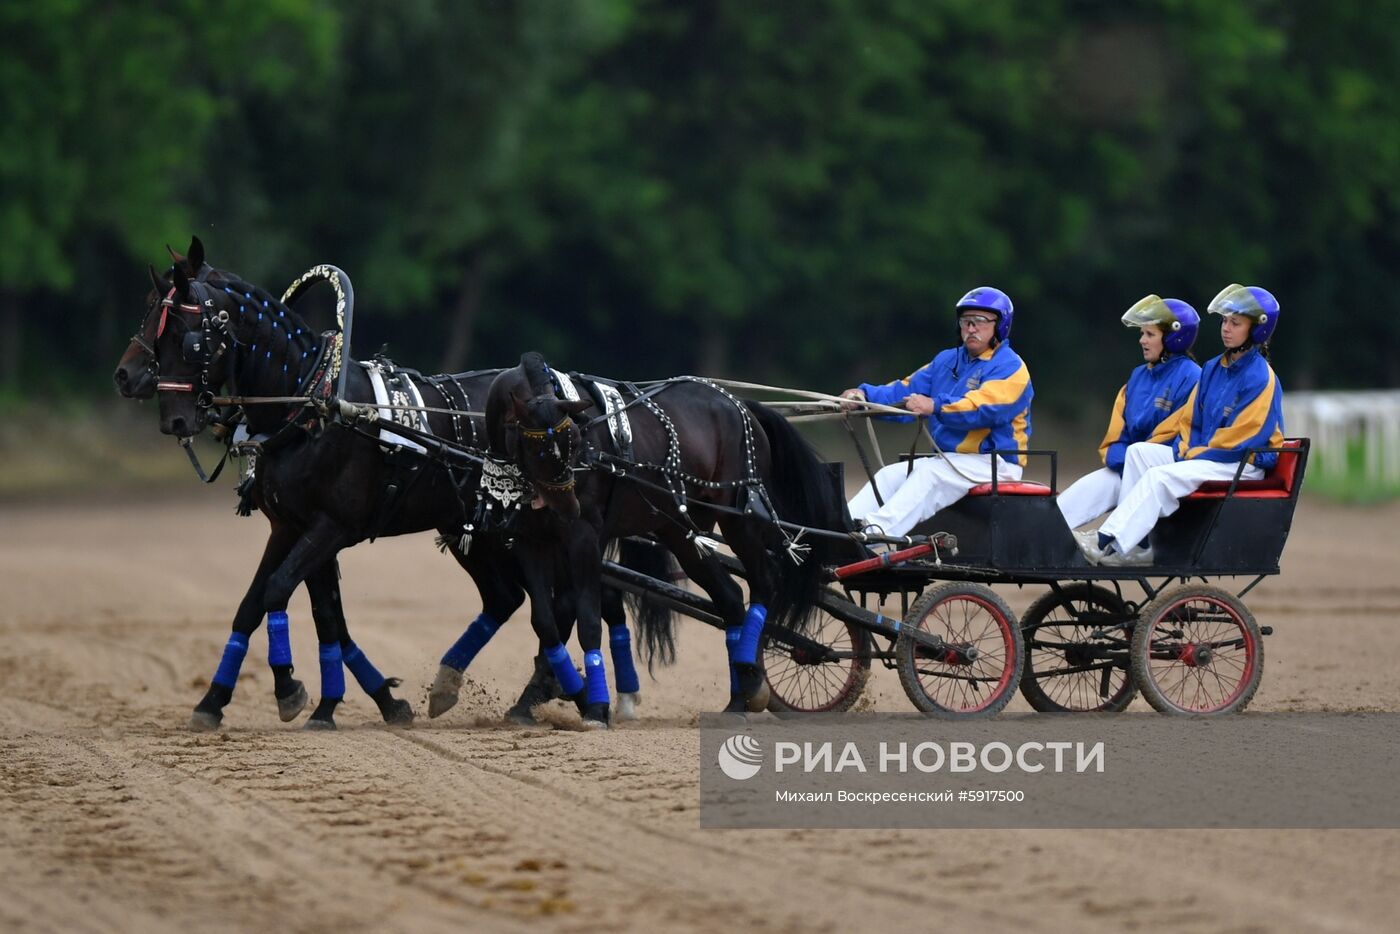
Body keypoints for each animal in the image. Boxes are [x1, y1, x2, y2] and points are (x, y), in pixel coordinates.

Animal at [130, 239, 672, 728]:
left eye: (189, 338)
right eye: (152, 325)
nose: (172, 417)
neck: (313, 404)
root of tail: (579, 400)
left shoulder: (330, 526)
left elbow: (280, 593)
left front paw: (292, 690)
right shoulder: (289, 526)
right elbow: (276, 607)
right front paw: (221, 701)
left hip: (551, 527)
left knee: (573, 603)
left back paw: (575, 695)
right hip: (485, 532)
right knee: (518, 600)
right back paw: (491, 687)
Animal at [487, 354, 845, 722]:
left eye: (573, 438)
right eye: (537, 448)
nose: (569, 507)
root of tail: (739, 403)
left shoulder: (584, 536)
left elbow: (585, 618)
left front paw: (596, 707)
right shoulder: (530, 540)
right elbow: (545, 622)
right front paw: (543, 699)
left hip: (738, 516)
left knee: (764, 581)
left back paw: (751, 674)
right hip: (680, 531)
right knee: (731, 596)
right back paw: (737, 698)